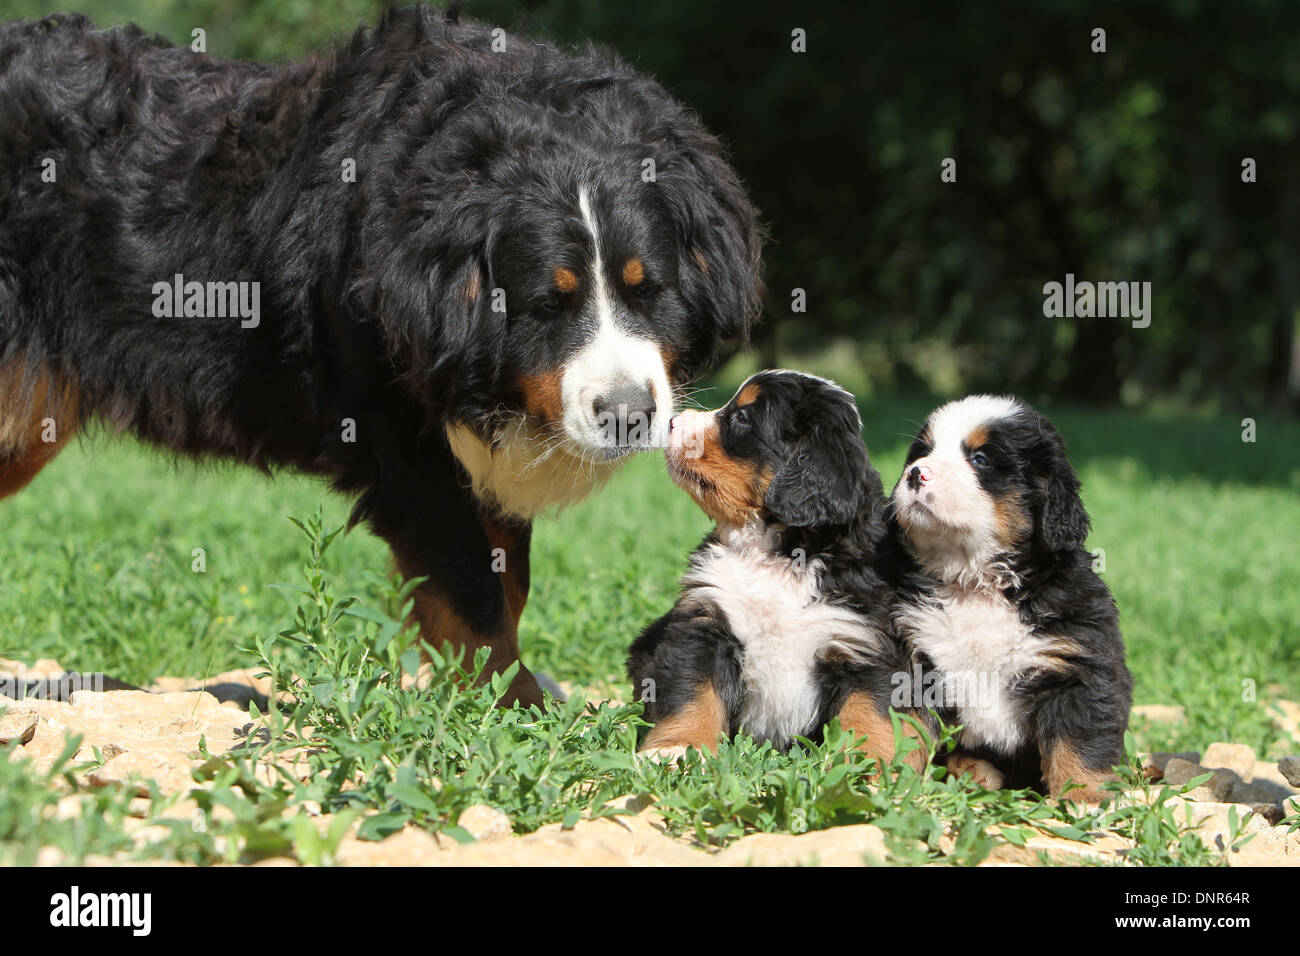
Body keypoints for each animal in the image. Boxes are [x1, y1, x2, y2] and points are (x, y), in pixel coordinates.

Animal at [2, 3, 759, 707]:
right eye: (549, 304)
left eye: (647, 289)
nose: (628, 414)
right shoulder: (405, 444)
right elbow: (470, 591)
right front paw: (515, 706)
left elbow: (505, 577)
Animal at [624, 369, 930, 775]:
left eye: (741, 418)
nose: (672, 422)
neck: (778, 558)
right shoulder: (704, 622)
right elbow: (692, 694)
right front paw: (676, 749)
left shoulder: (866, 645)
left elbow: (869, 715)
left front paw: (865, 771)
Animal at [889, 395, 1133, 801]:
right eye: (922, 452)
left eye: (980, 459)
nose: (915, 473)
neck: (977, 584)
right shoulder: (915, 660)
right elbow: (908, 730)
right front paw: (894, 784)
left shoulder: (1075, 667)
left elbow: (1080, 744)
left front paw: (1085, 800)